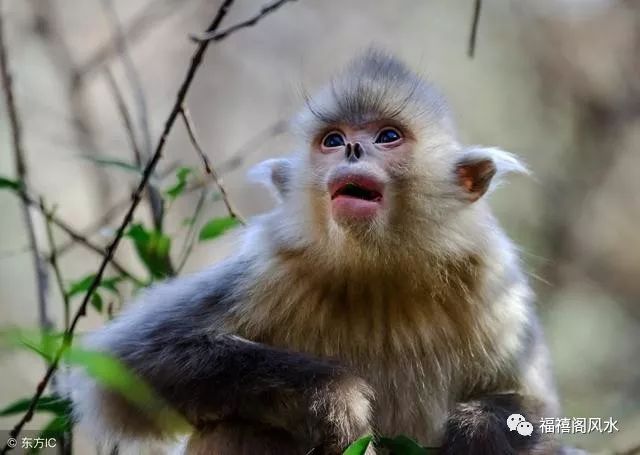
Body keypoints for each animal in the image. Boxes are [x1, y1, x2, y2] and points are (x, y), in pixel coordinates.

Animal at [71, 48, 560, 454]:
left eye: (387, 136)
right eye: (332, 140)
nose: (353, 148)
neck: (378, 272)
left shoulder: (488, 277)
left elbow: (540, 408)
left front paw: (476, 431)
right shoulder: (270, 265)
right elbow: (130, 365)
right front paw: (332, 400)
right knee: (238, 422)